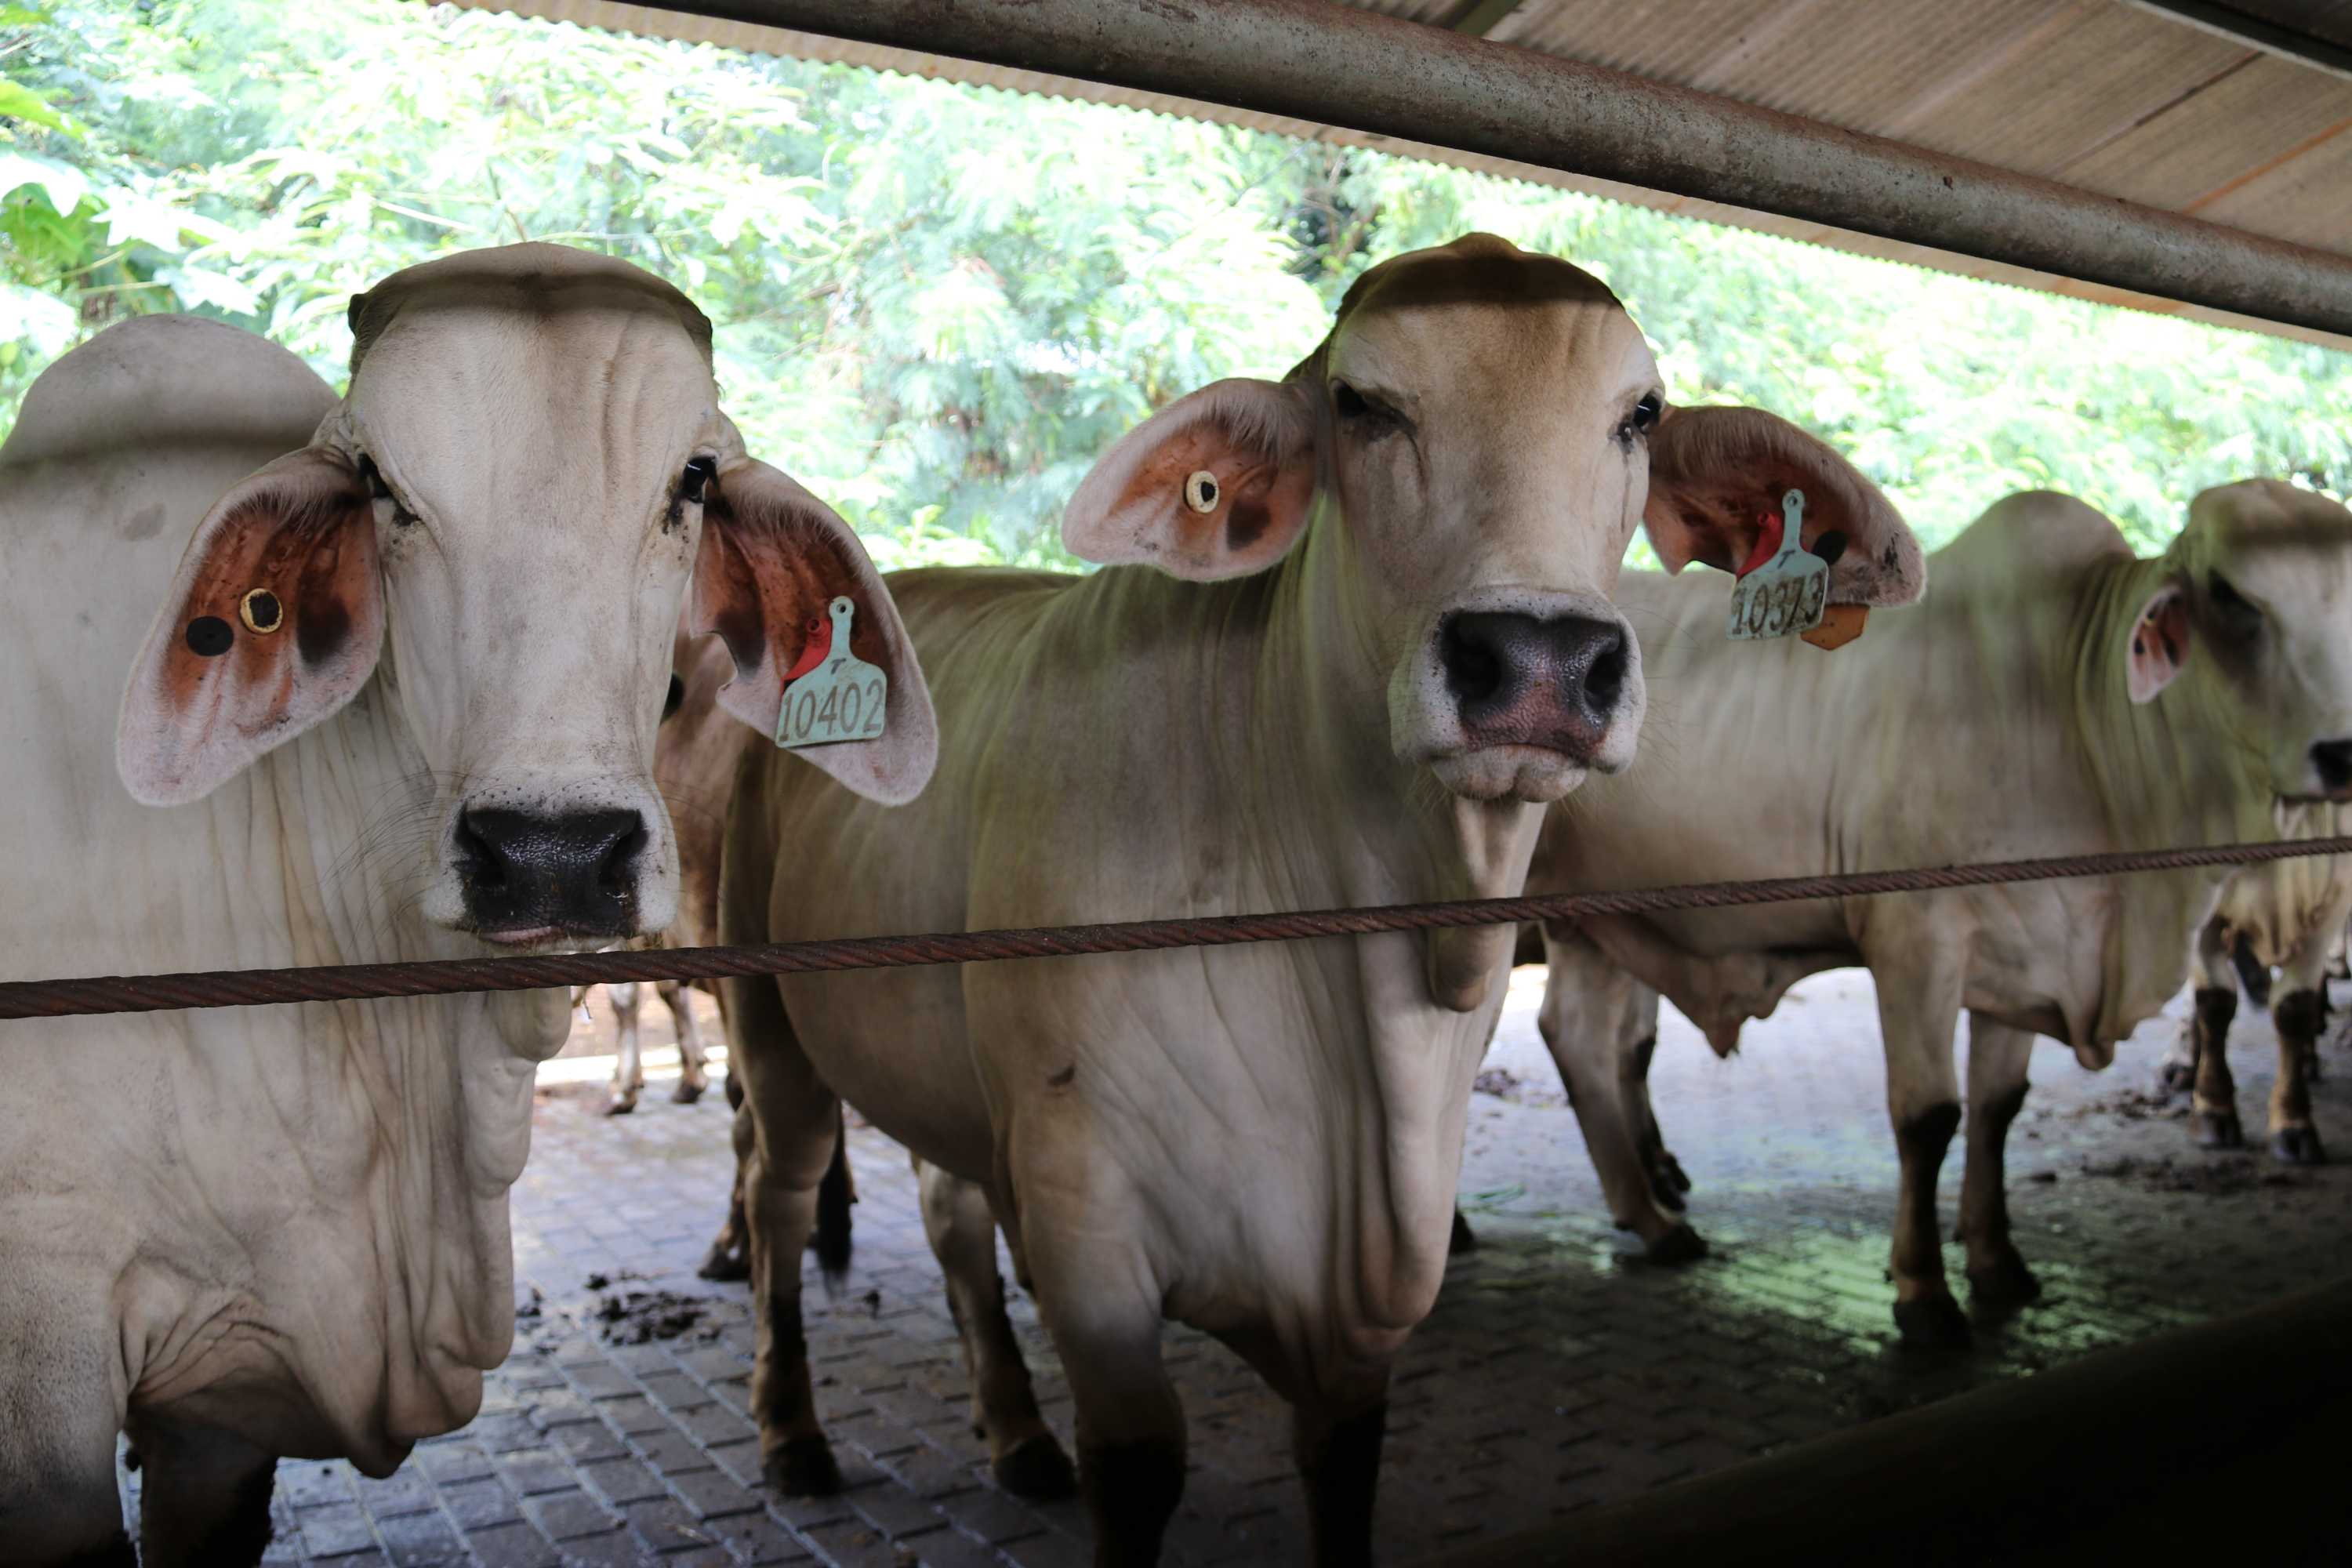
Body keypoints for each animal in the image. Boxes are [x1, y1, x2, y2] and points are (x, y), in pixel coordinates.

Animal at [711, 234, 1925, 1565]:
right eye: (1362, 404)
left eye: (1640, 414)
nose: (1541, 664)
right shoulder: (1091, 1241)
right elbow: (1138, 1465)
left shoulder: (1359, 1320)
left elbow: (1342, 1472)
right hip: (769, 1025)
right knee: (779, 1200)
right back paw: (792, 1432)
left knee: (949, 1214)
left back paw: (1016, 1432)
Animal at [2153, 800, 2352, 1161]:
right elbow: (2214, 1000)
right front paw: (2212, 1108)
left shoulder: (2331, 891)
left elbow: (2294, 1007)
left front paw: (2292, 1123)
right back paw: (2182, 1063)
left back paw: (2308, 1055)